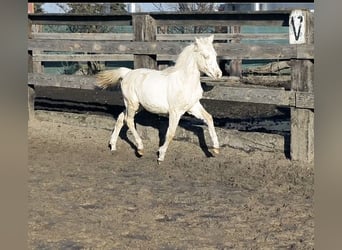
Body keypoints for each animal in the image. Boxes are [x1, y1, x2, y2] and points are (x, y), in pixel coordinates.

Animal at [97, 35, 223, 163]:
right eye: (205, 55)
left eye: (215, 54)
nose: (218, 74)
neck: (184, 81)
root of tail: (127, 73)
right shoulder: (175, 112)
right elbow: (171, 133)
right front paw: (161, 155)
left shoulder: (193, 107)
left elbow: (209, 118)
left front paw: (216, 149)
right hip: (132, 104)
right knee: (129, 120)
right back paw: (140, 148)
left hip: (137, 106)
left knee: (121, 118)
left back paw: (113, 146)